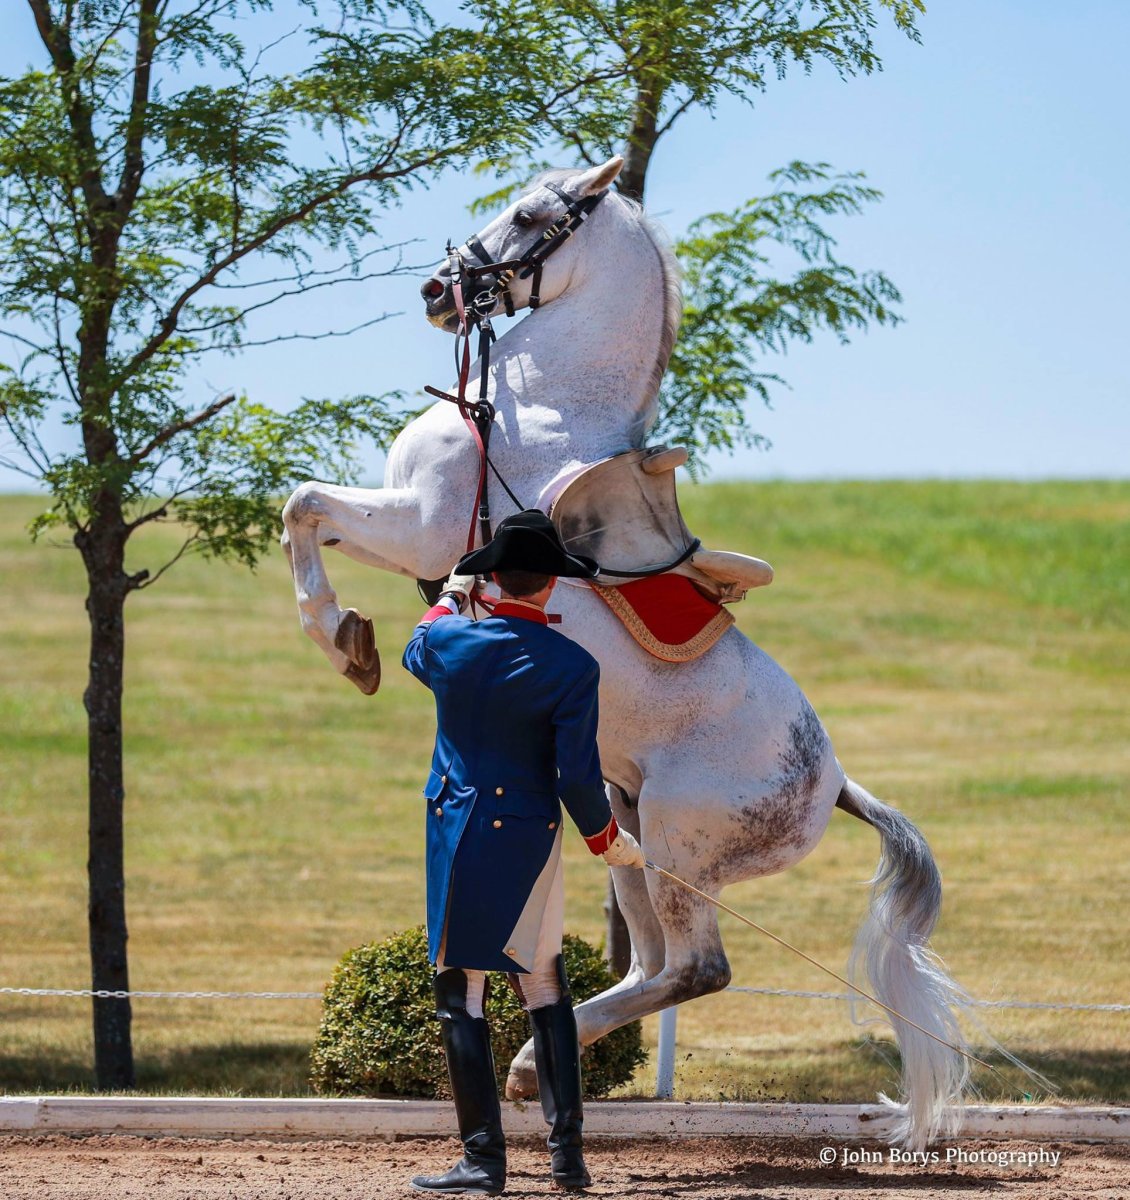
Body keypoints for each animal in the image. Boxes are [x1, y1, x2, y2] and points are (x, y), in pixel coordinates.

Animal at [280, 155, 970, 1150]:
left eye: (532, 216)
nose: (437, 291)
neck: (531, 400)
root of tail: (834, 782)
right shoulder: (404, 529)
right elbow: (306, 512)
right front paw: (351, 634)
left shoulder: (418, 527)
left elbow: (302, 503)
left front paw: (343, 640)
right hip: (621, 815)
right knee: (652, 964)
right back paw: (534, 1064)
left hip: (681, 840)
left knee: (699, 968)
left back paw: (530, 1065)